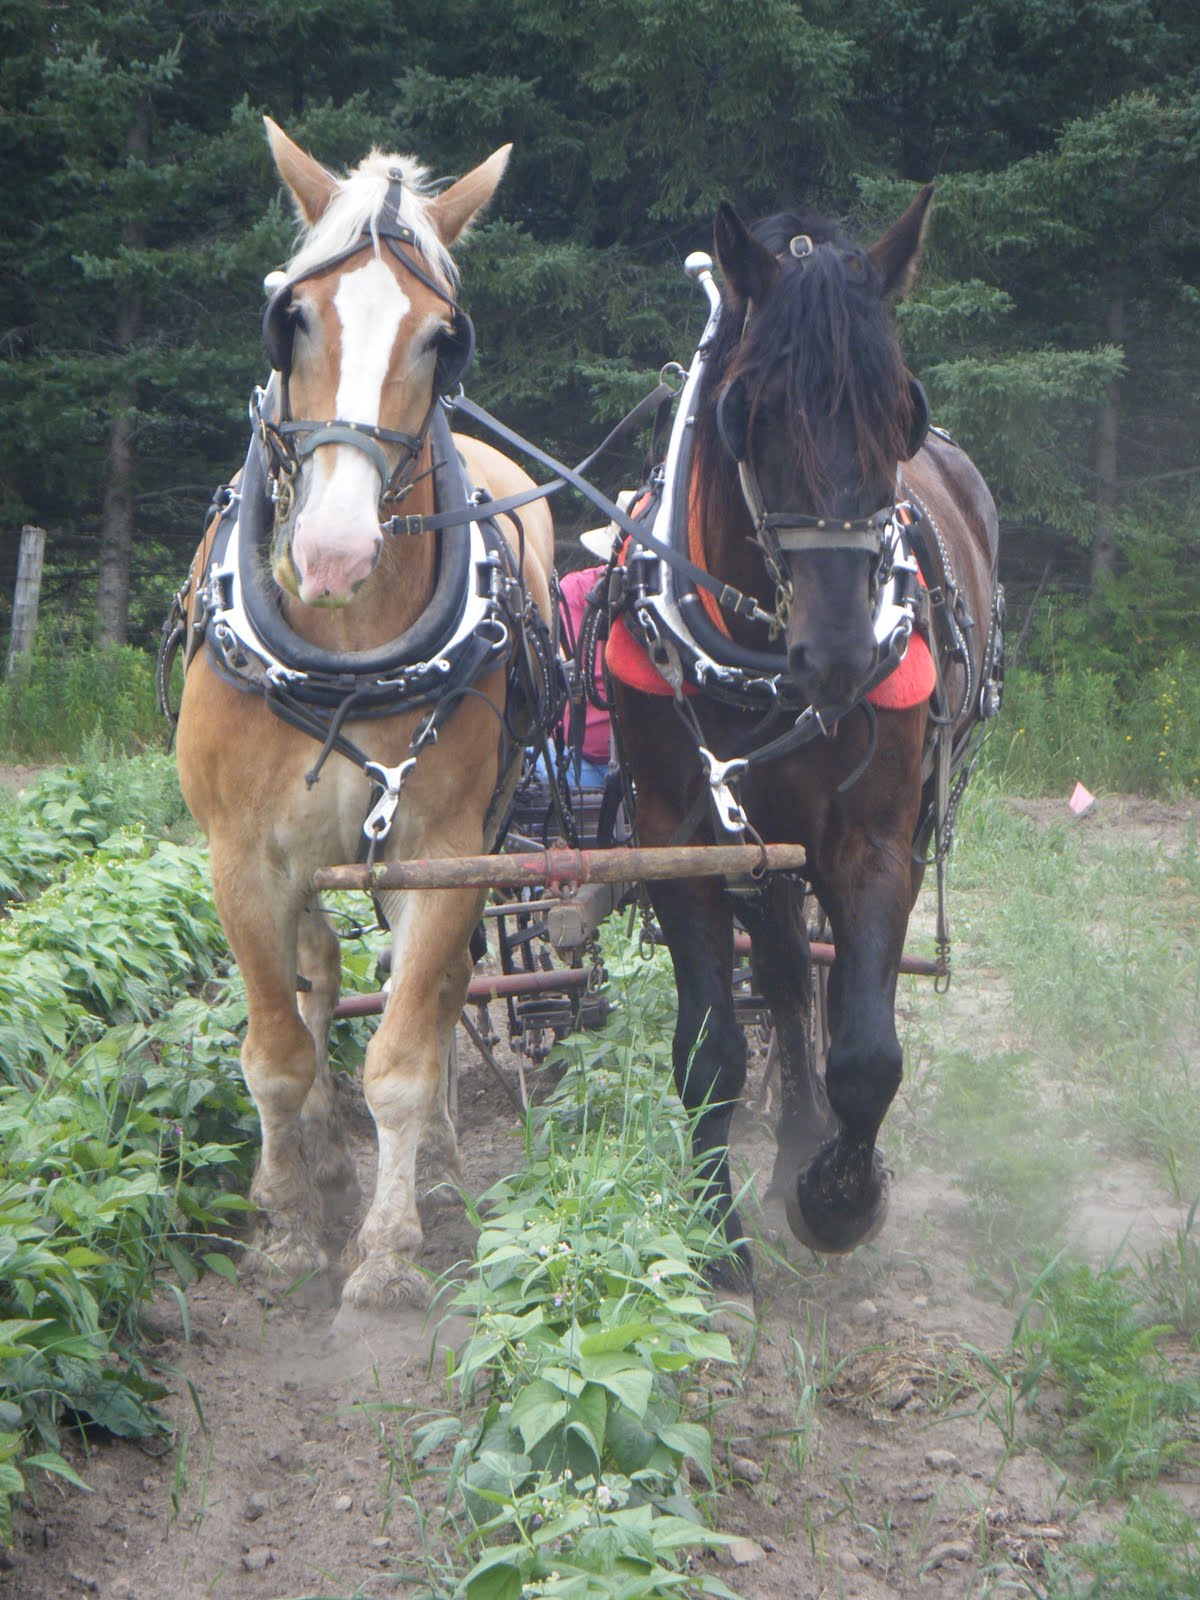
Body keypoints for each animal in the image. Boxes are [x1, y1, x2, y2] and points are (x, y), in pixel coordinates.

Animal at [173, 119, 554, 1316]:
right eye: (292, 316)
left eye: (442, 339)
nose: (333, 555)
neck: (345, 657)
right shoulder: (241, 857)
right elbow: (277, 1052)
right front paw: (291, 1226)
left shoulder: (442, 849)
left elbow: (402, 1054)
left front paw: (388, 1246)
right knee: (316, 979)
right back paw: (306, 1165)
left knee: (418, 995)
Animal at [608, 187, 1001, 1279]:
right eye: (749, 410)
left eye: (901, 408)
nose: (840, 654)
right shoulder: (682, 831)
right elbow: (712, 1047)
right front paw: (719, 1233)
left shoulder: (872, 837)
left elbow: (867, 1046)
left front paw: (841, 1195)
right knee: (785, 974)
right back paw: (791, 1139)